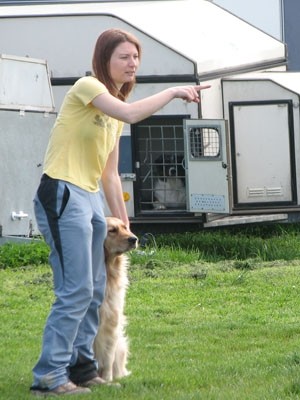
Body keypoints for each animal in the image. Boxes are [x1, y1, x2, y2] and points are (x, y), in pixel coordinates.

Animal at [94, 217, 138, 382]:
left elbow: (107, 358)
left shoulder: (112, 322)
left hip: (121, 345)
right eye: (112, 230)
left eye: (125, 227)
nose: (134, 239)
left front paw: (107, 381)